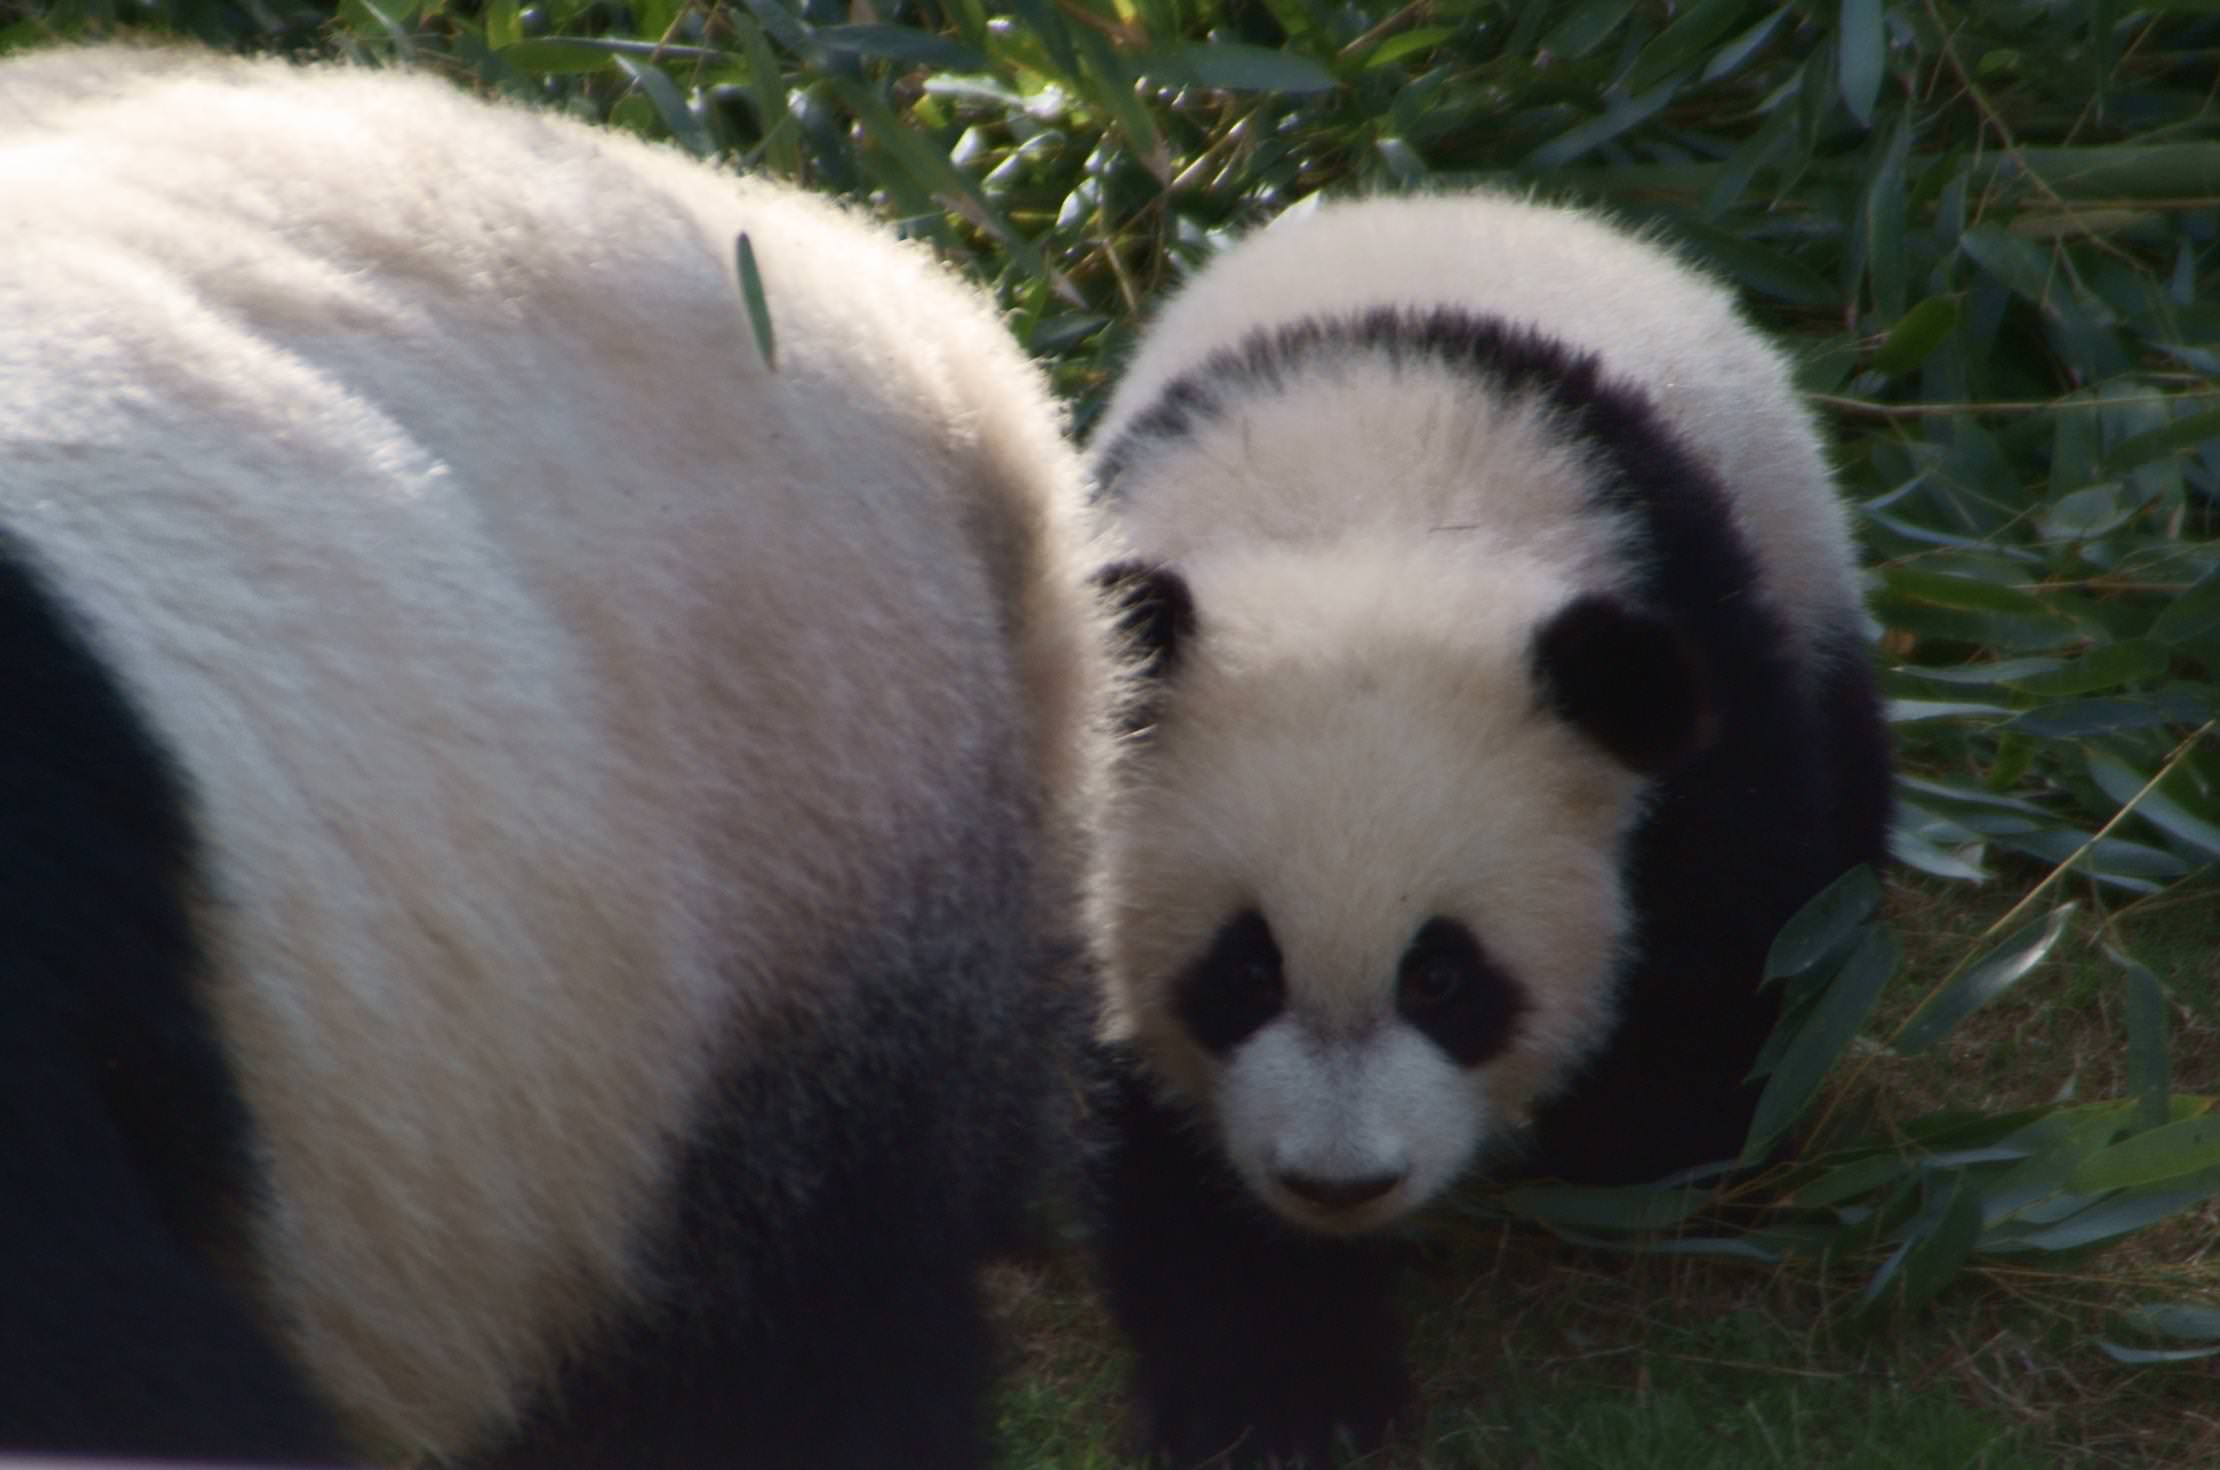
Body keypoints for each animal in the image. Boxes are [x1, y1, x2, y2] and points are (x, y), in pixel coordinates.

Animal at [1085, 191, 1893, 1467]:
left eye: (1445, 978)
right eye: (1243, 970)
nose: (1340, 1181)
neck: (1364, 512)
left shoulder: (1687, 646)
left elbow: (1728, 921)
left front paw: (1649, 1145)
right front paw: (1278, 1389)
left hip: (1800, 558)